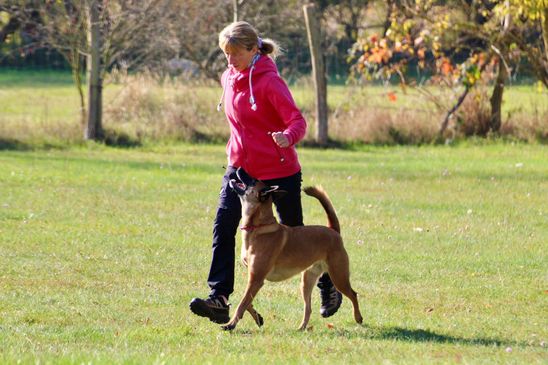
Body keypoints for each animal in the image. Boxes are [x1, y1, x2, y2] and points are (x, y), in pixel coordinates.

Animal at [224, 169, 364, 332]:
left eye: (253, 180)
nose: (238, 169)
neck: (258, 227)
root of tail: (333, 230)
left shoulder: (256, 279)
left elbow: (242, 304)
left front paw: (230, 324)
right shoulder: (253, 278)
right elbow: (246, 302)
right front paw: (257, 317)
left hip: (338, 275)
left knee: (353, 294)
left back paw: (358, 318)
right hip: (307, 281)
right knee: (308, 308)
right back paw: (302, 327)